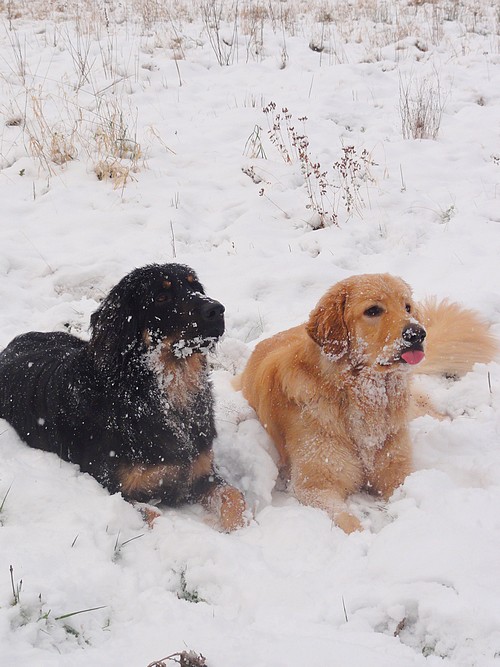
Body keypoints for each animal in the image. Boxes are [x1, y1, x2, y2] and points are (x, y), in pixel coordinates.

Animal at [0, 264, 246, 528]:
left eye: (195, 287)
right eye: (162, 297)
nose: (217, 309)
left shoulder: (202, 473)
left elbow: (235, 496)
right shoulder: (114, 488)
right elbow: (154, 514)